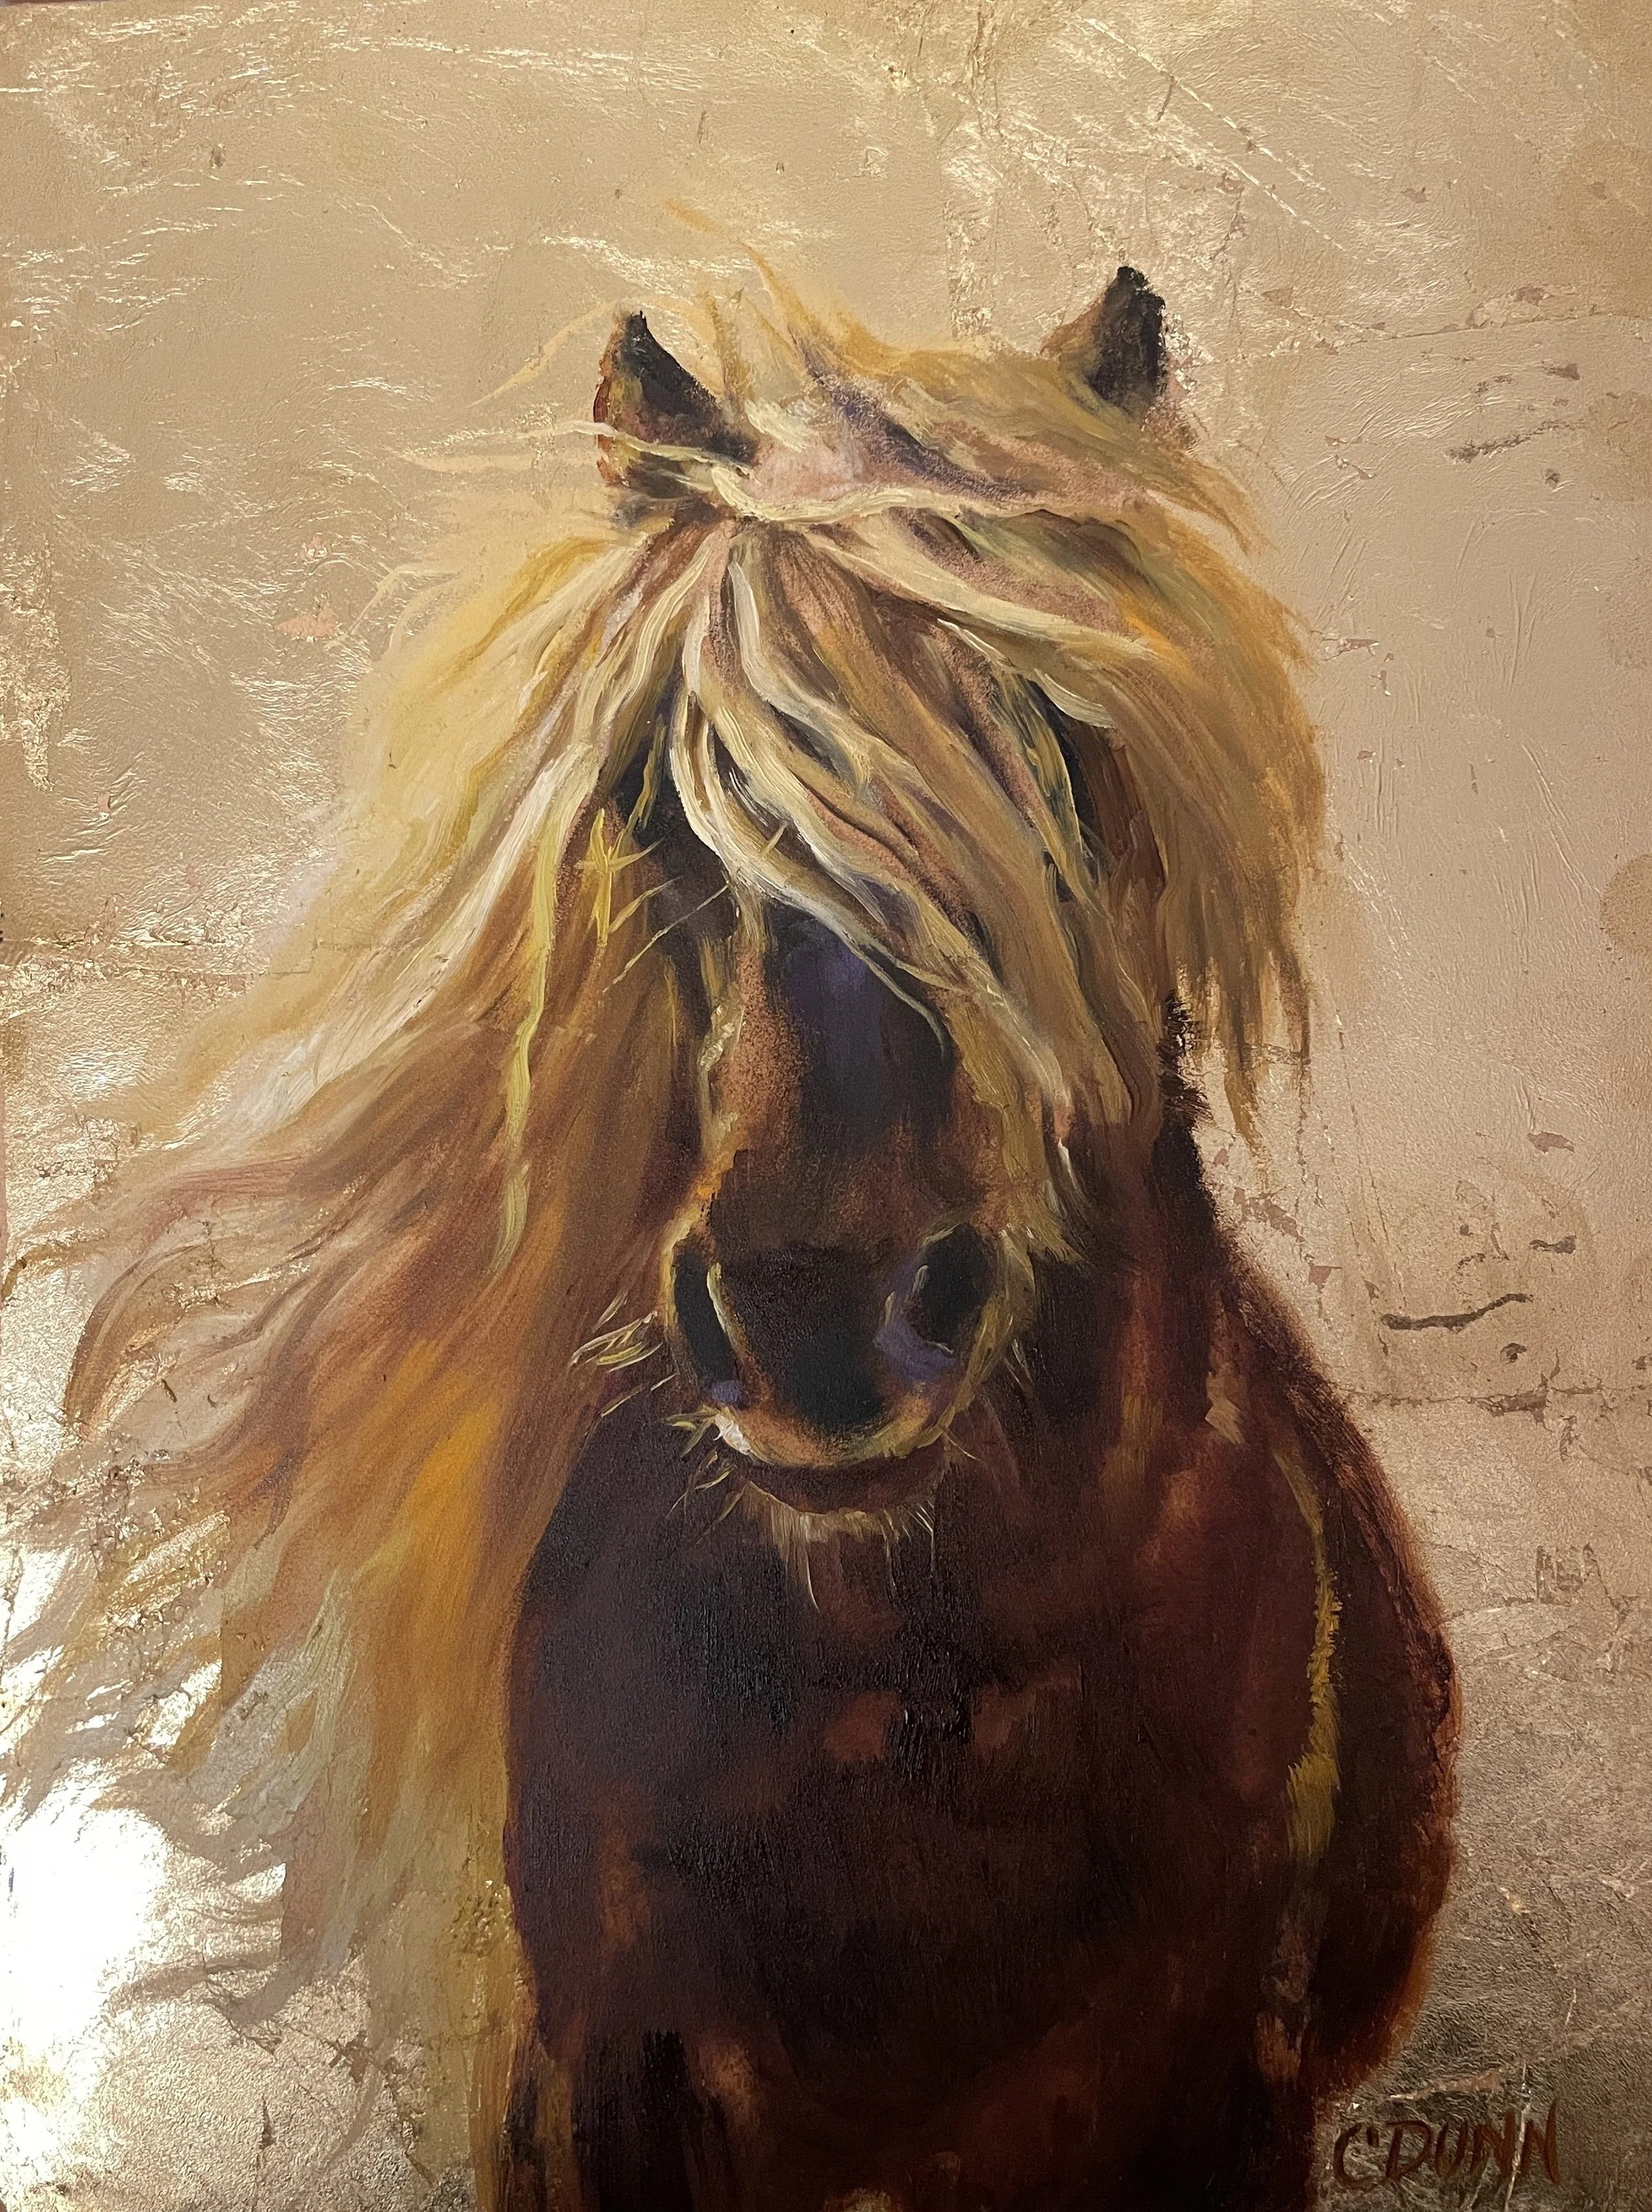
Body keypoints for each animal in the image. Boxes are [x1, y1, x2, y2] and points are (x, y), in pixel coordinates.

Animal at [9, 264, 1454, 2212]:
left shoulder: (1214, 2097)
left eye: (1062, 764)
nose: (812, 1319)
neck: (909, 1706)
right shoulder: (590, 2083)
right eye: (648, 794)